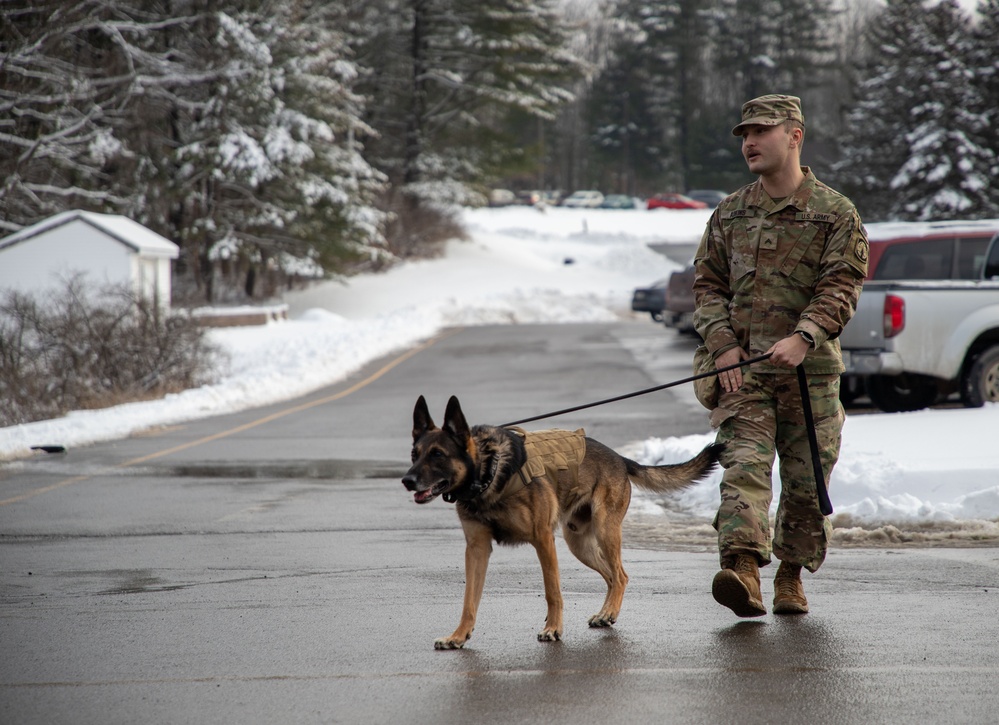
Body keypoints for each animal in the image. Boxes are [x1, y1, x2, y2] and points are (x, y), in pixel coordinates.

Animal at [402, 398, 724, 648]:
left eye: (438, 455)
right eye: (414, 455)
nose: (407, 480)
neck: (488, 472)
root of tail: (619, 458)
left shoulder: (543, 539)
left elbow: (552, 591)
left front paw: (553, 629)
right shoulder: (477, 549)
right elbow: (469, 599)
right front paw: (458, 635)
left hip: (605, 532)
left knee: (620, 575)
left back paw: (609, 612)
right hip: (578, 543)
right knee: (612, 576)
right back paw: (606, 613)